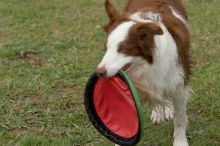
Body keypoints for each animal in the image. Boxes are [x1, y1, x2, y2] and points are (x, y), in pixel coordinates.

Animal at [96, 0, 191, 145]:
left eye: (123, 49)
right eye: (106, 48)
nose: (99, 72)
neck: (145, 66)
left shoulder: (178, 83)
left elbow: (180, 119)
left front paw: (180, 142)